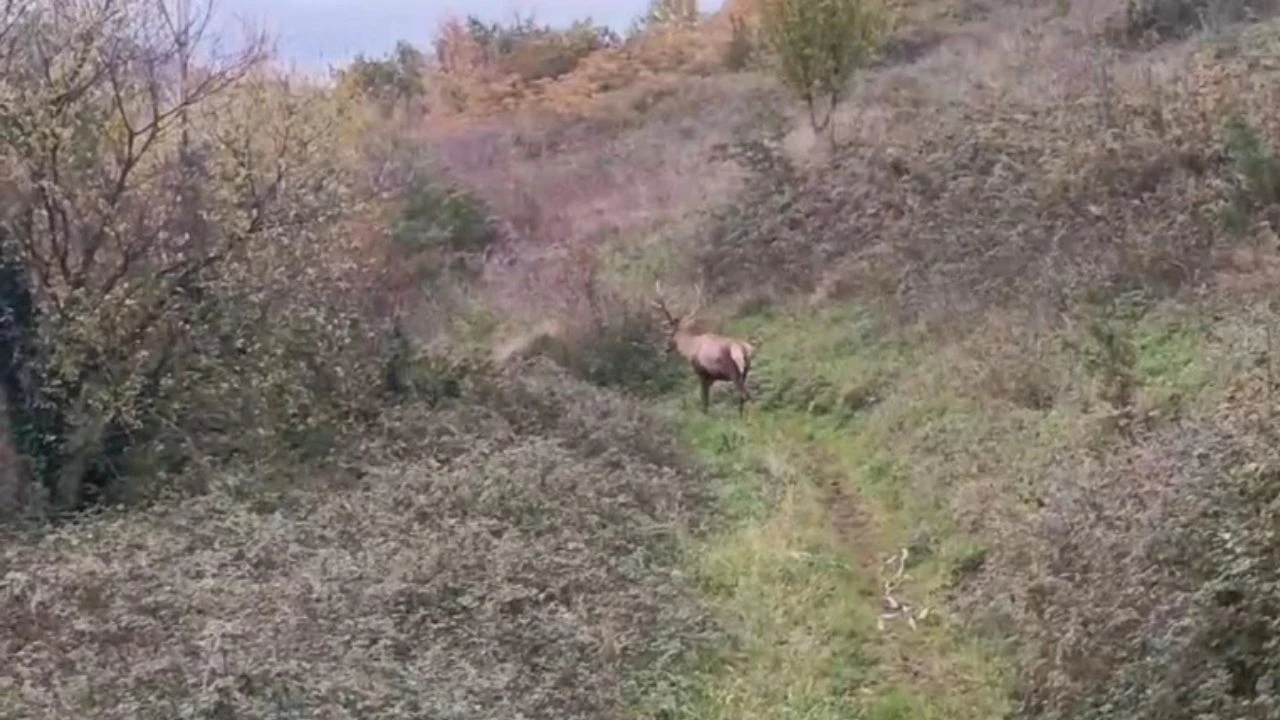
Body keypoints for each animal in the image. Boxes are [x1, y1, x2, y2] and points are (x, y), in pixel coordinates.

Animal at [655, 280, 752, 415]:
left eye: (669, 334)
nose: (665, 349)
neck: (689, 348)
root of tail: (744, 349)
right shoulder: (711, 377)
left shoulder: (702, 373)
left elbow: (704, 400)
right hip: (745, 371)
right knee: (744, 397)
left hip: (733, 373)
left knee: (745, 395)